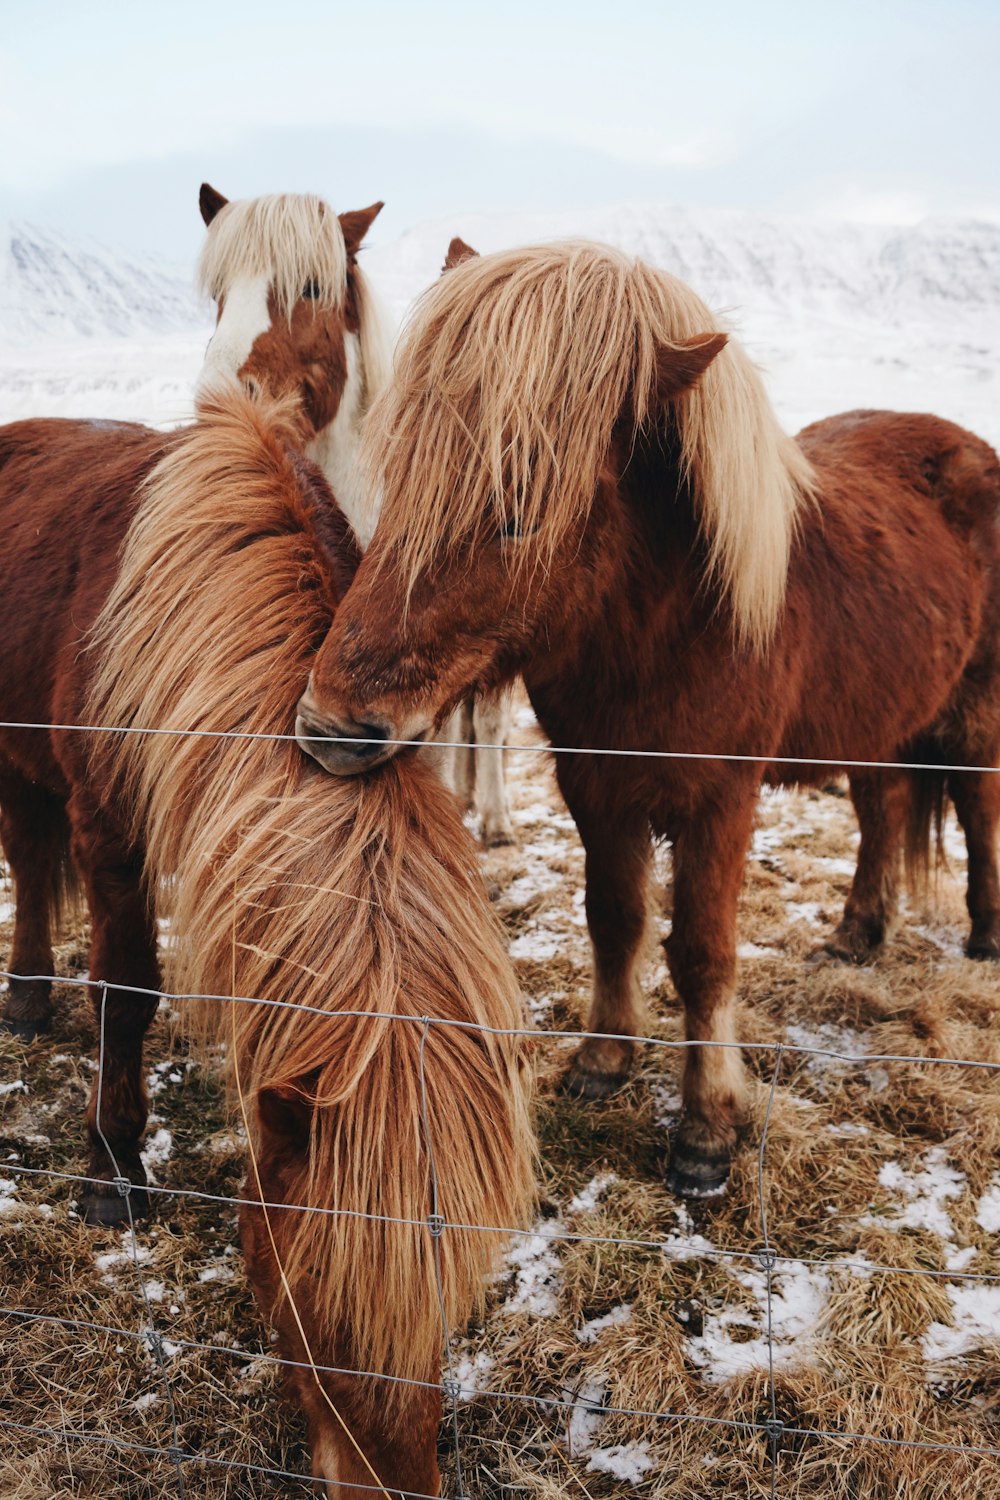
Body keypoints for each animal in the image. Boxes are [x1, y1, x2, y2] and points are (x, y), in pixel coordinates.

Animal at [83, 393, 536, 1494]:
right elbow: (125, 991)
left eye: (451, 1310)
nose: (397, 1495)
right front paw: (113, 1179)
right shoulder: (104, 831)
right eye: (314, 1302)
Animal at [296, 240, 1000, 1200]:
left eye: (521, 513)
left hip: (972, 713)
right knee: (880, 810)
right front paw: (603, 1058)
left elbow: (702, 954)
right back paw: (857, 935)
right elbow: (615, 916)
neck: (666, 626)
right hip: (876, 722)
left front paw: (706, 1129)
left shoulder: (721, 802)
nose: (330, 726)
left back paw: (985, 933)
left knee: (976, 808)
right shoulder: (594, 784)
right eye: (403, 476)